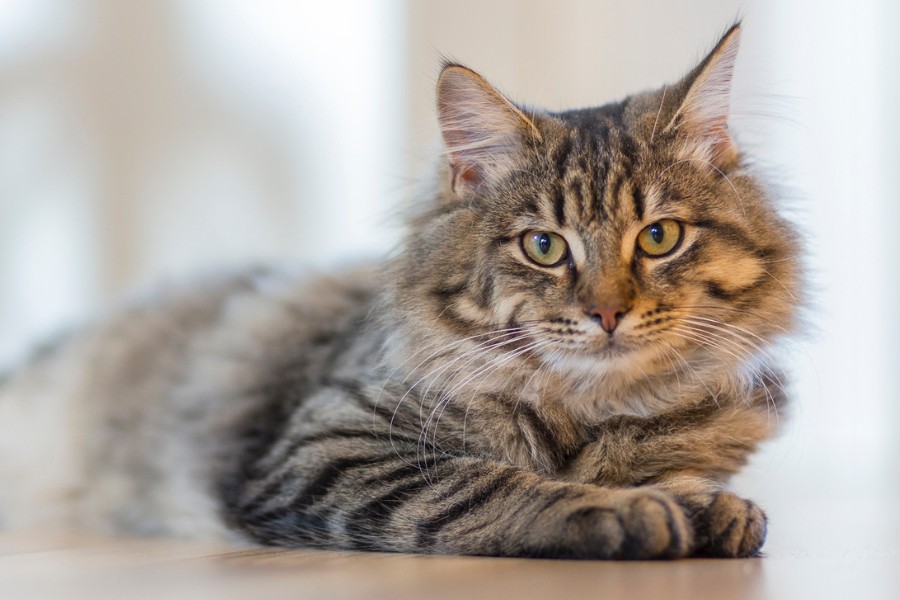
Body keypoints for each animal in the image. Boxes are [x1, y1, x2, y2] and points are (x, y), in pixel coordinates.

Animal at [0, 23, 800, 556]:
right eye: (544, 247)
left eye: (659, 237)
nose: (607, 312)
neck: (592, 412)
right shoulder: (328, 445)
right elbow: (490, 483)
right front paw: (632, 509)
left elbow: (687, 472)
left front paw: (709, 503)